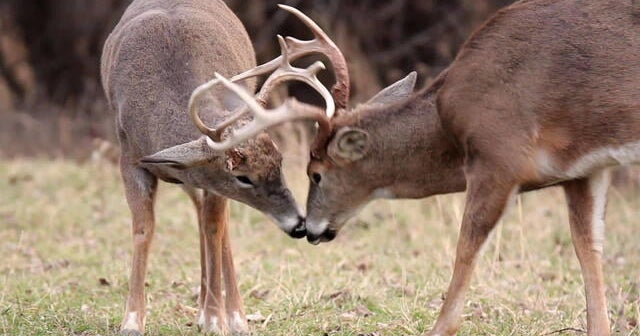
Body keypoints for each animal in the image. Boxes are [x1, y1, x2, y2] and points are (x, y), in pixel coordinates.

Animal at [100, 1, 350, 334]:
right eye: (243, 177)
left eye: (281, 161)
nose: (299, 225)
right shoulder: (129, 155)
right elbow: (144, 228)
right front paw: (132, 321)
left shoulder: (213, 181)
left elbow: (214, 229)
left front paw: (216, 318)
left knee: (219, 227)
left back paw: (232, 315)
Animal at [209, 0, 640, 336]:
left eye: (316, 173)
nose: (308, 229)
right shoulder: (584, 169)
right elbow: (588, 247)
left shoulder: (500, 155)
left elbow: (466, 246)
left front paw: (440, 326)